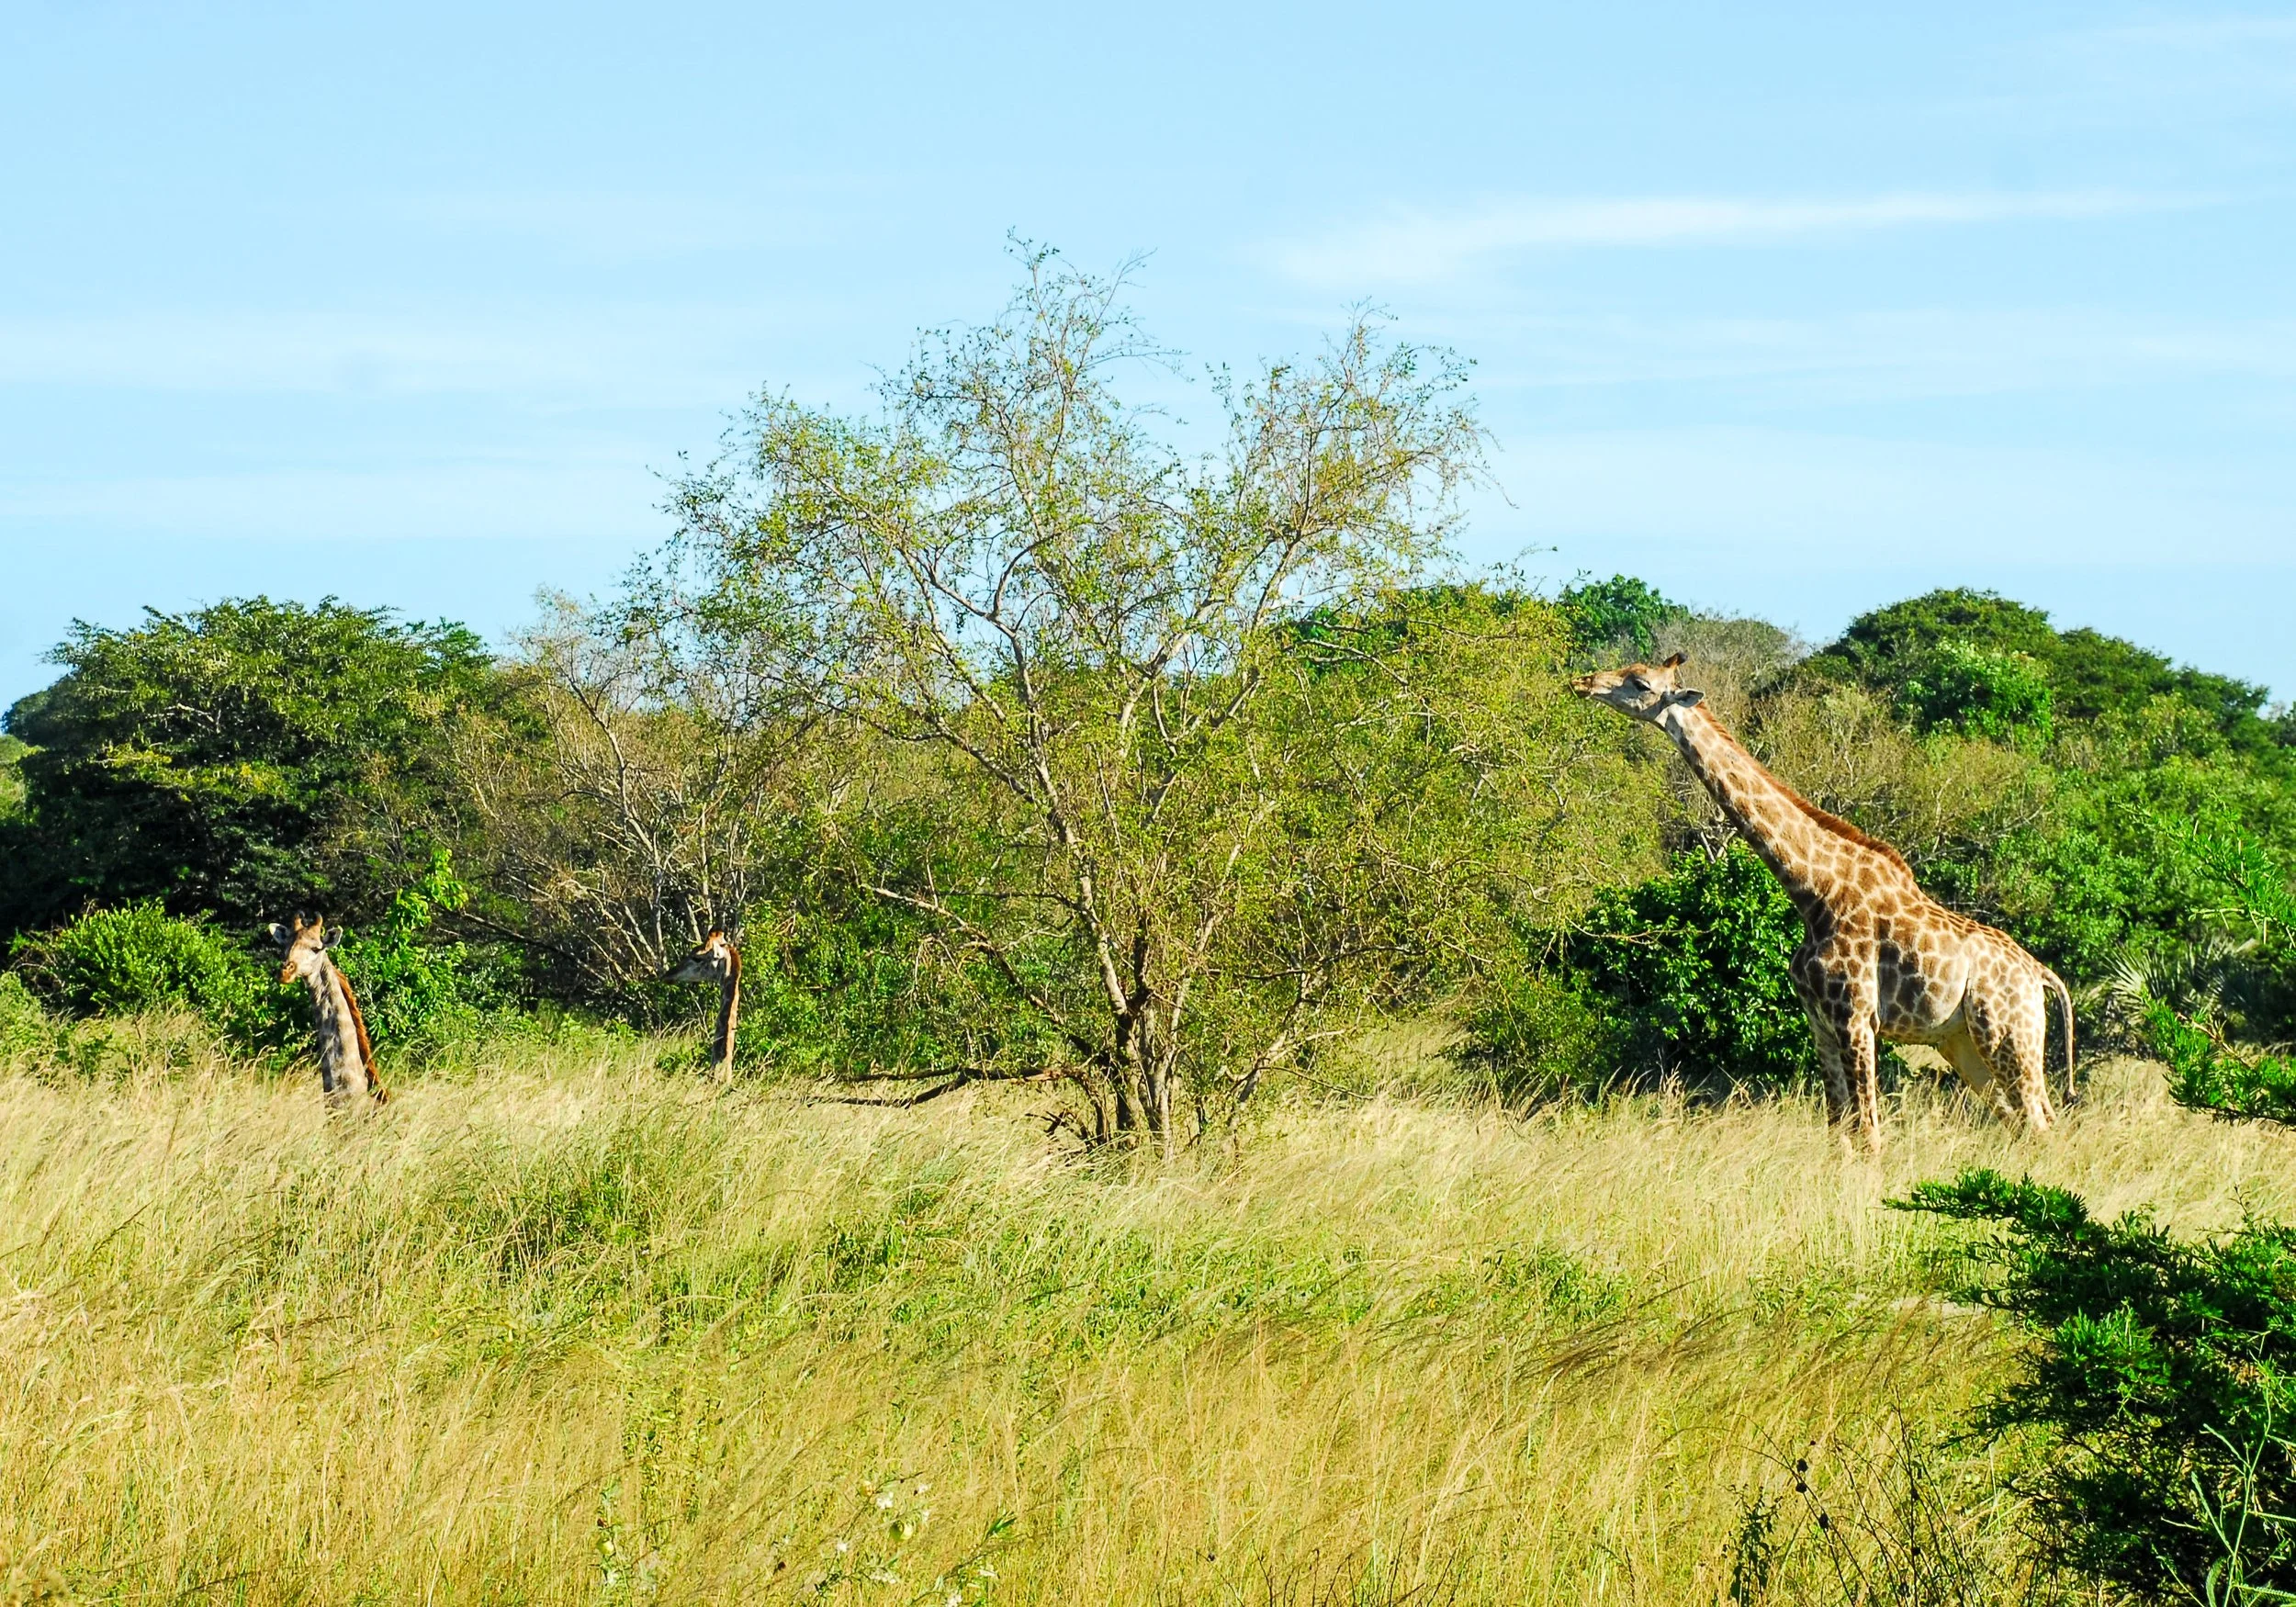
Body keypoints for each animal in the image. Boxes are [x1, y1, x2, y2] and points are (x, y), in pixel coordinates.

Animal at [1571, 653, 2072, 1150]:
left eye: (1640, 683)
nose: (1583, 682)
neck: (1813, 892)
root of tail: (2041, 975)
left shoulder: (1856, 1018)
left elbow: (1868, 1134)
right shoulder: (1819, 1022)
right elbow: (1838, 1130)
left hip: (2008, 1033)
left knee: (2040, 1119)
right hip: (1961, 1041)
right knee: (2023, 1121)